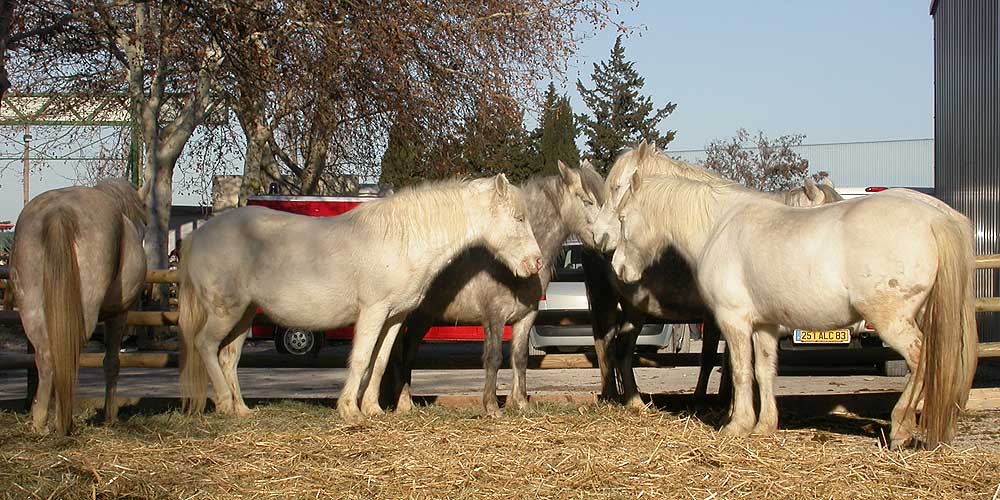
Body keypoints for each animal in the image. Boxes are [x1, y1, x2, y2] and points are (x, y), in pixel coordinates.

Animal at [10, 179, 146, 434]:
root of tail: (58, 210)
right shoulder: (119, 315)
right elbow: (112, 362)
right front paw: (110, 417)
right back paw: (64, 421)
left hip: (31, 307)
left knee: (46, 356)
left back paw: (41, 421)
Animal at [179, 175, 540, 422]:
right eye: (518, 218)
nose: (535, 262)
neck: (403, 239)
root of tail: (197, 236)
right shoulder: (373, 311)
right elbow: (362, 358)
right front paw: (350, 410)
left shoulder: (394, 317)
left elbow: (379, 362)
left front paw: (373, 409)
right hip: (225, 312)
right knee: (205, 345)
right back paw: (224, 403)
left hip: (244, 315)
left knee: (228, 357)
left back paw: (241, 410)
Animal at [382, 163, 600, 414]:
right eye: (587, 201)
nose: (606, 238)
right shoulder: (494, 316)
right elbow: (494, 358)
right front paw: (492, 406)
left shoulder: (526, 317)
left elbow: (520, 358)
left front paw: (521, 403)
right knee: (396, 355)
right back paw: (403, 403)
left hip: (422, 318)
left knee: (408, 353)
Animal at [600, 146, 976, 448]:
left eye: (622, 210)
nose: (615, 263)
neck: (719, 226)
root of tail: (934, 220)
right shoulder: (764, 325)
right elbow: (764, 371)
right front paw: (764, 426)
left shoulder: (733, 321)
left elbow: (740, 371)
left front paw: (736, 426)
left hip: (892, 321)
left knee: (922, 358)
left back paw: (900, 427)